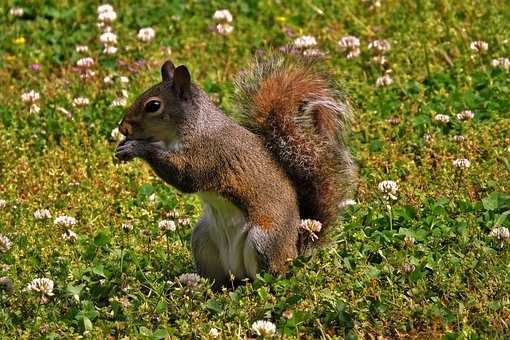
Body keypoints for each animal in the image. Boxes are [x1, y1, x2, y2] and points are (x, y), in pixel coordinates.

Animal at [115, 52, 354, 286]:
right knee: (219, 279)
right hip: (203, 239)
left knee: (269, 277)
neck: (195, 127)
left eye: (153, 106)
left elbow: (187, 177)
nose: (123, 127)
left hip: (264, 242)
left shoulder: (209, 154)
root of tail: (295, 252)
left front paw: (137, 147)